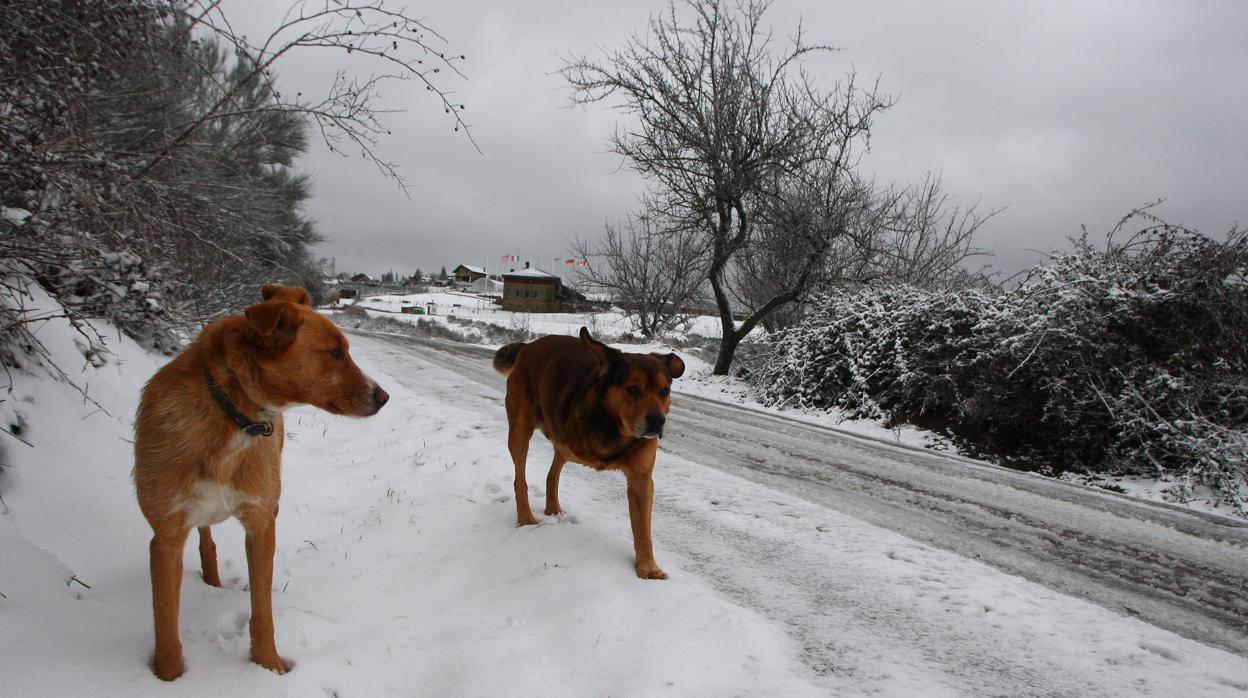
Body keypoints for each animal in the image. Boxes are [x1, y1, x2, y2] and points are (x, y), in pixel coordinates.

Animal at [129, 282, 386, 679]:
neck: (233, 414)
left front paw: (268, 666)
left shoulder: (262, 524)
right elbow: (166, 625)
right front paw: (167, 678)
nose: (384, 397)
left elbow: (262, 611)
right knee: (204, 537)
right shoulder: (166, 537)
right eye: (336, 352)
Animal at [494, 329, 688, 581]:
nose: (657, 420)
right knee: (520, 478)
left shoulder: (641, 478)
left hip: (561, 446)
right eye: (632, 389)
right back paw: (526, 518)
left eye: (664, 391)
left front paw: (648, 567)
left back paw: (553, 507)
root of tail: (528, 346)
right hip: (520, 430)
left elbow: (643, 527)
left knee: (552, 473)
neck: (614, 428)